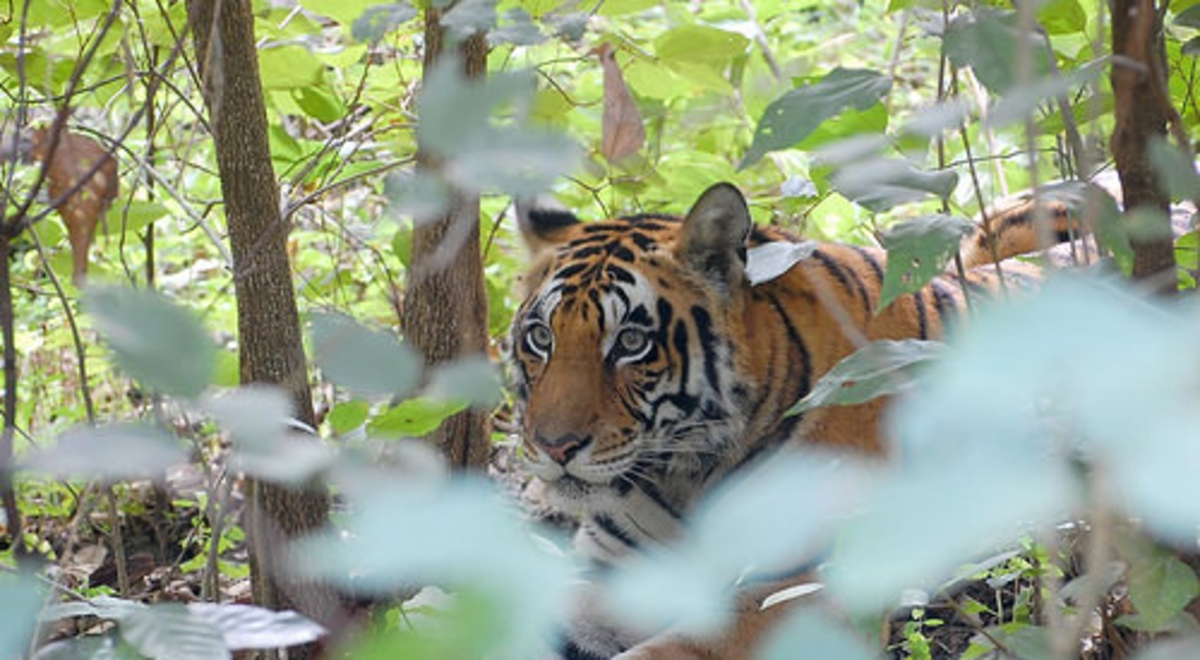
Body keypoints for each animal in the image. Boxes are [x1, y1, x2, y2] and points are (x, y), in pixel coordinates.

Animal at [511, 182, 1081, 660]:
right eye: (541, 336)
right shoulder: (614, 575)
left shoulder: (801, 589)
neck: (686, 474)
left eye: (631, 342)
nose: (554, 446)